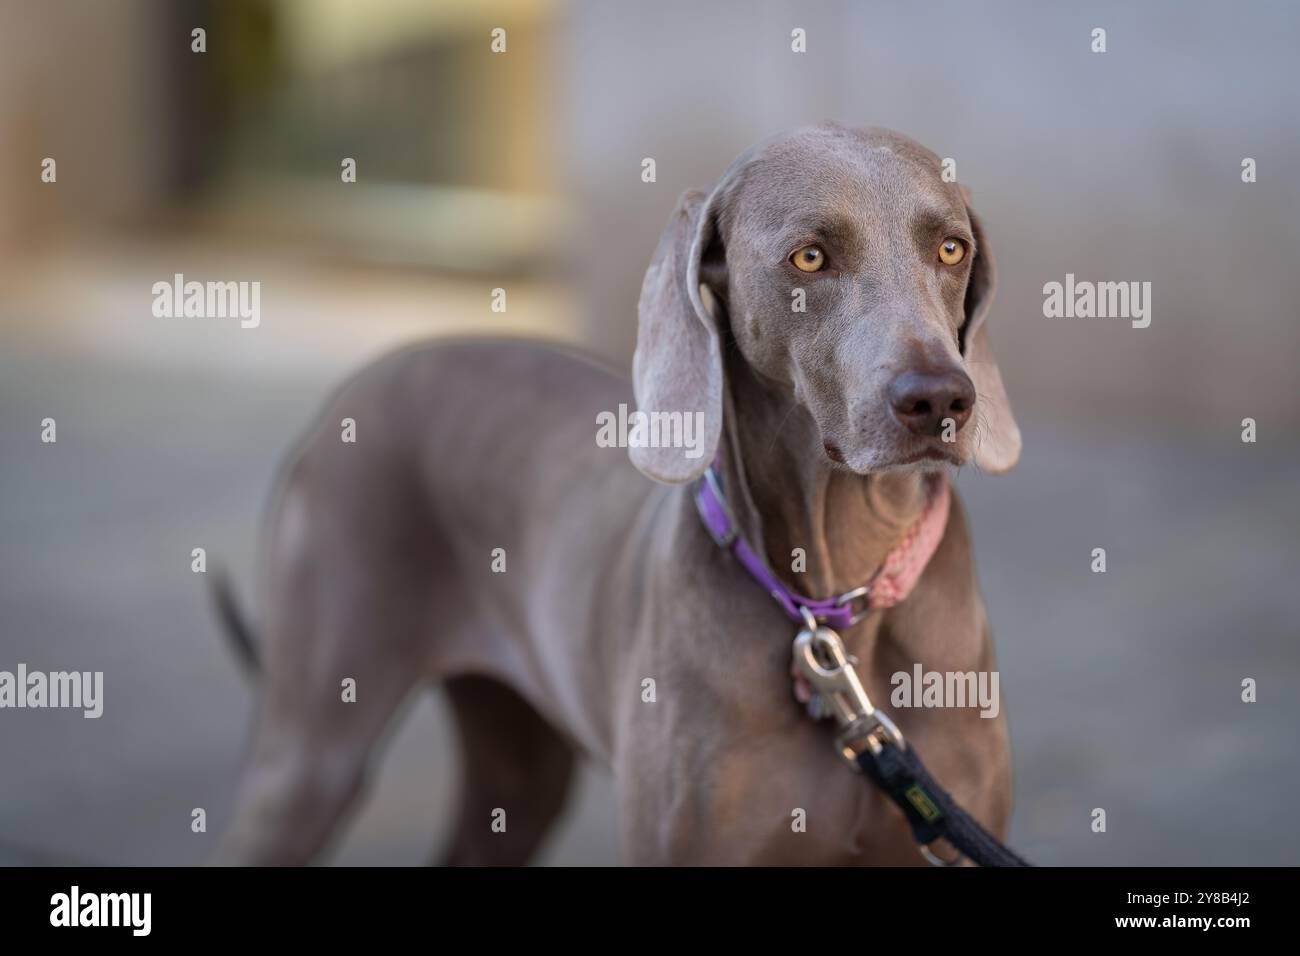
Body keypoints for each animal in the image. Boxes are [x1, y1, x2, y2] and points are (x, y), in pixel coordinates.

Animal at [215, 123, 1024, 863]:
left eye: (951, 250)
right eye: (810, 256)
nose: (941, 399)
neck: (836, 603)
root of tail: (339, 405)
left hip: (519, 771)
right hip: (310, 755)